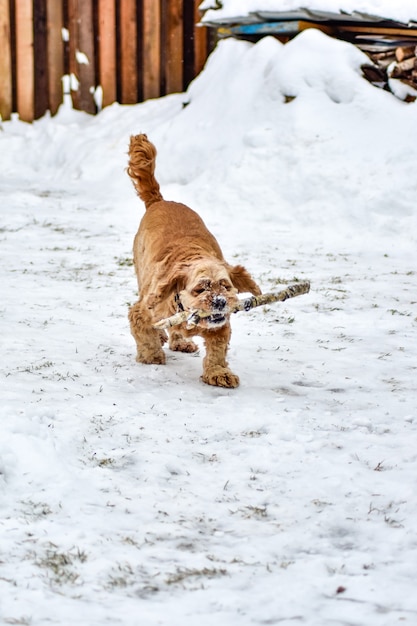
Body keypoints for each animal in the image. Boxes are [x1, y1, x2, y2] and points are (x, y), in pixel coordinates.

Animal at [126, 133, 260, 386]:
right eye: (200, 289)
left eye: (225, 286)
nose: (220, 302)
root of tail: (159, 201)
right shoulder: (142, 310)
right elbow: (144, 332)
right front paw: (151, 356)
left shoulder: (220, 326)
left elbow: (217, 351)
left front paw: (219, 373)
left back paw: (181, 341)